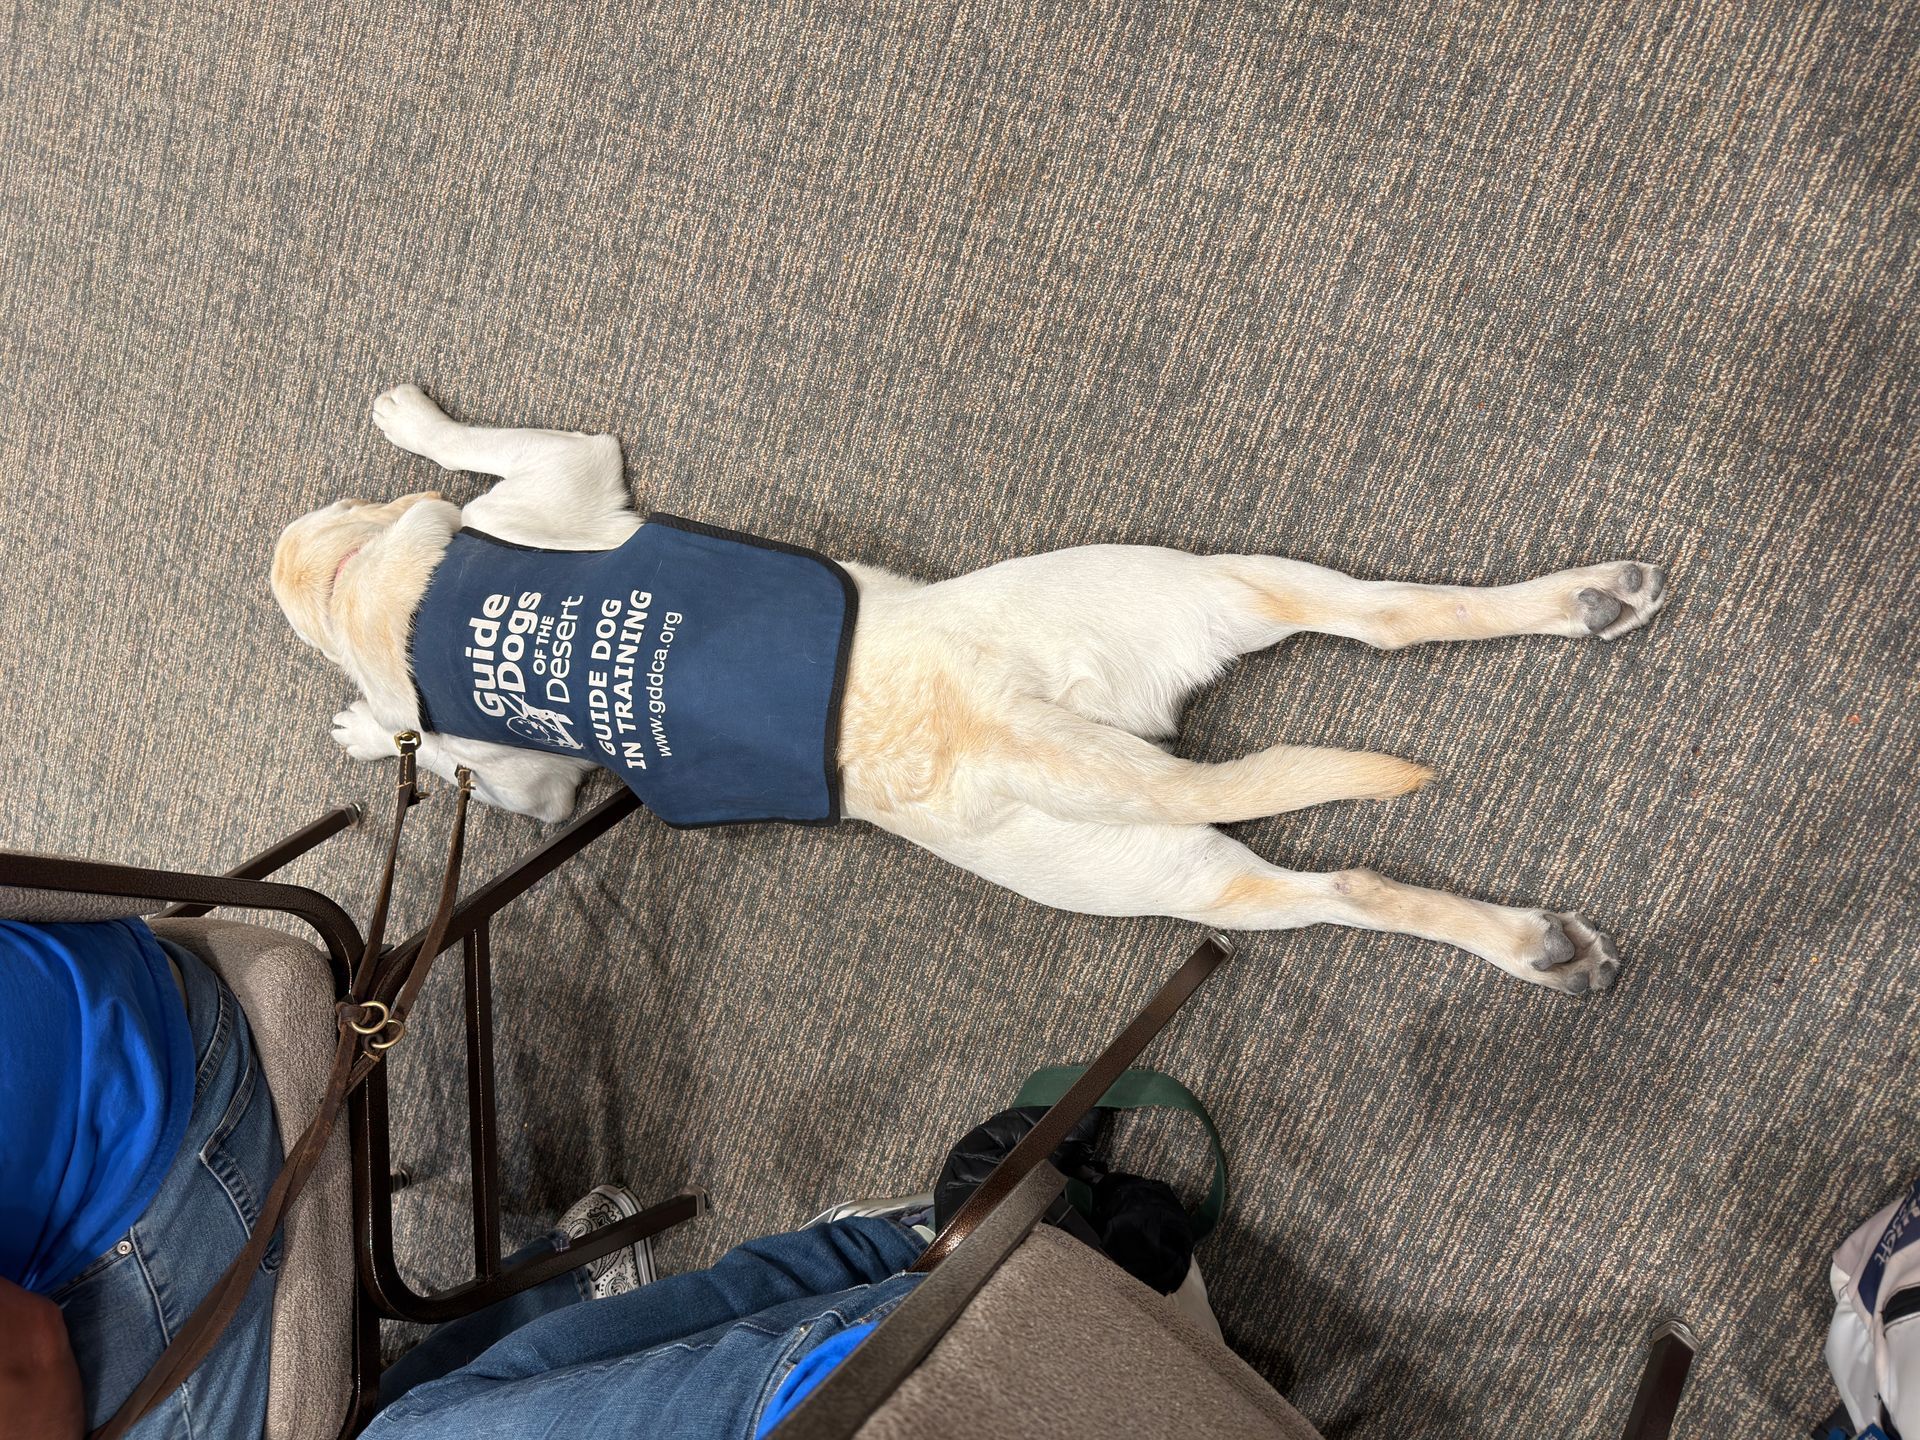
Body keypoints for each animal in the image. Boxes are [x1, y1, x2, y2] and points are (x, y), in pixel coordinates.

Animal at [272, 385, 1668, 996]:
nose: (285, 537)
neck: (370, 592)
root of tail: (1012, 733)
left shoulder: (562, 487)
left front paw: (410, 424)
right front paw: (367, 726)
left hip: (1194, 621)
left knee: (1387, 634)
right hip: (1188, 785)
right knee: (1355, 828)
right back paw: (1540, 930)